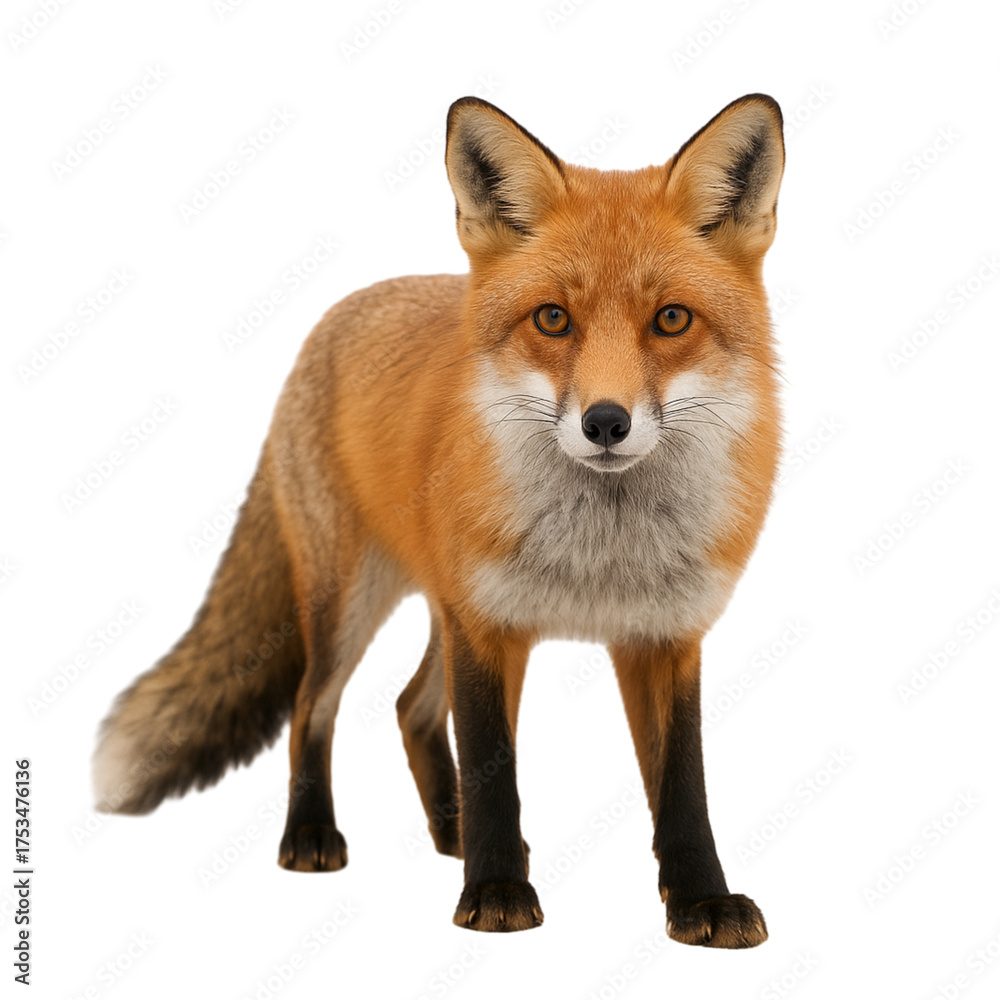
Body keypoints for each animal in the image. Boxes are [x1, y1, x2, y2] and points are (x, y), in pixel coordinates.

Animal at [93, 93, 786, 945]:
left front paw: (700, 901)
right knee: (311, 705)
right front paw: (494, 891)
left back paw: (449, 829)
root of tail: (338, 314)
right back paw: (313, 834)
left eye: (671, 320)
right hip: (351, 600)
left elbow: (683, 788)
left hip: (442, 606)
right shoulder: (486, 627)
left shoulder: (663, 634)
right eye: (552, 320)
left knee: (410, 707)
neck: (601, 556)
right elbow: (495, 764)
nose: (605, 422)